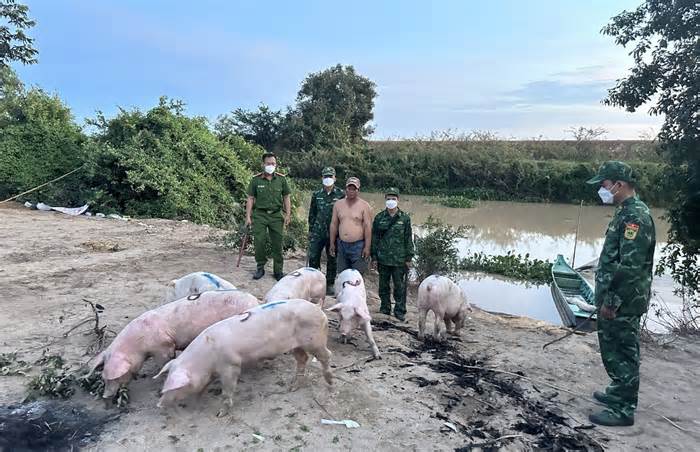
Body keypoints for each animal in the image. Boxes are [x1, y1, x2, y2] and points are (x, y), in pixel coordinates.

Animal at [89, 290, 258, 400]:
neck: (138, 344)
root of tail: (256, 301)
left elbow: (164, 361)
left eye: (112, 378)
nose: (105, 396)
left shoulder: (163, 346)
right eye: (103, 377)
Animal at [154, 298, 334, 414]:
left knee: (326, 355)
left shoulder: (231, 365)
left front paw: (221, 413)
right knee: (303, 358)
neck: (206, 360)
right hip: (295, 345)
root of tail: (317, 307)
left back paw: (330, 383)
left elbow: (228, 389)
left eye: (175, 387)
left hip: (315, 340)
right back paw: (292, 387)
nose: (159, 404)